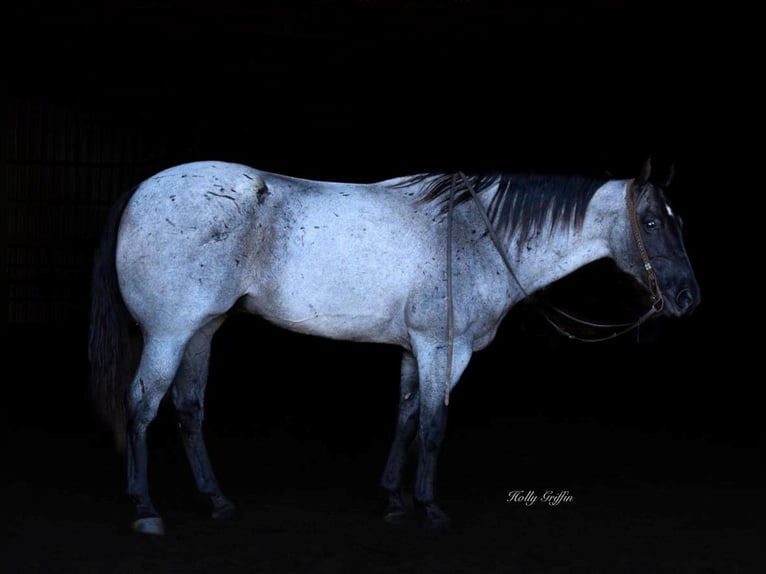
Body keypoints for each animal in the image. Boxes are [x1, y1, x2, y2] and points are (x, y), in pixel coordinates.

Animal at [88, 156, 704, 536]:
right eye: (652, 222)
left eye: (678, 221)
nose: (686, 296)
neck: (476, 235)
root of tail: (142, 189)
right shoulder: (443, 347)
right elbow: (432, 424)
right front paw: (429, 509)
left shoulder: (416, 350)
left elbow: (406, 417)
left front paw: (394, 501)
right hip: (169, 332)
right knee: (141, 406)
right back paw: (145, 508)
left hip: (203, 328)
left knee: (188, 410)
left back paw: (216, 501)